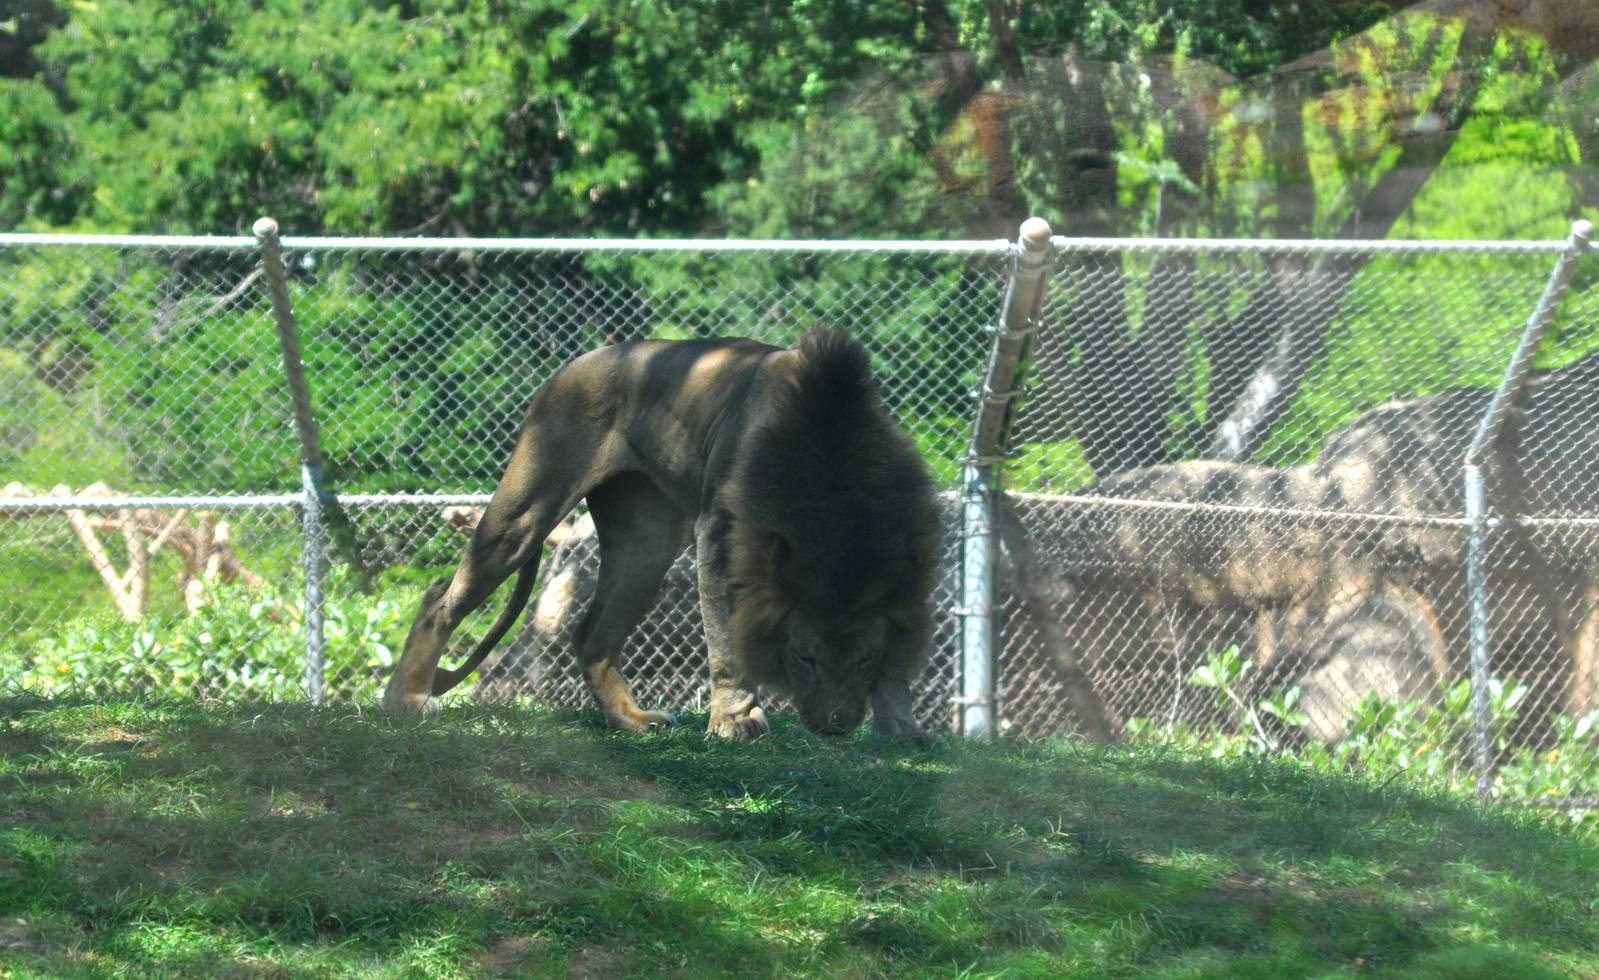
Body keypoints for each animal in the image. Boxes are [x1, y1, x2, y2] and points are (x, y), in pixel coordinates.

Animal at [382, 327, 941, 741]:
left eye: (867, 658)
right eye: (803, 657)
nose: (834, 727)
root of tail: (570, 365)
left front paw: (904, 730)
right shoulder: (719, 539)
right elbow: (726, 642)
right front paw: (735, 721)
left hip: (645, 545)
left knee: (591, 636)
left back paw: (631, 720)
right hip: (525, 508)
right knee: (440, 599)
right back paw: (406, 699)